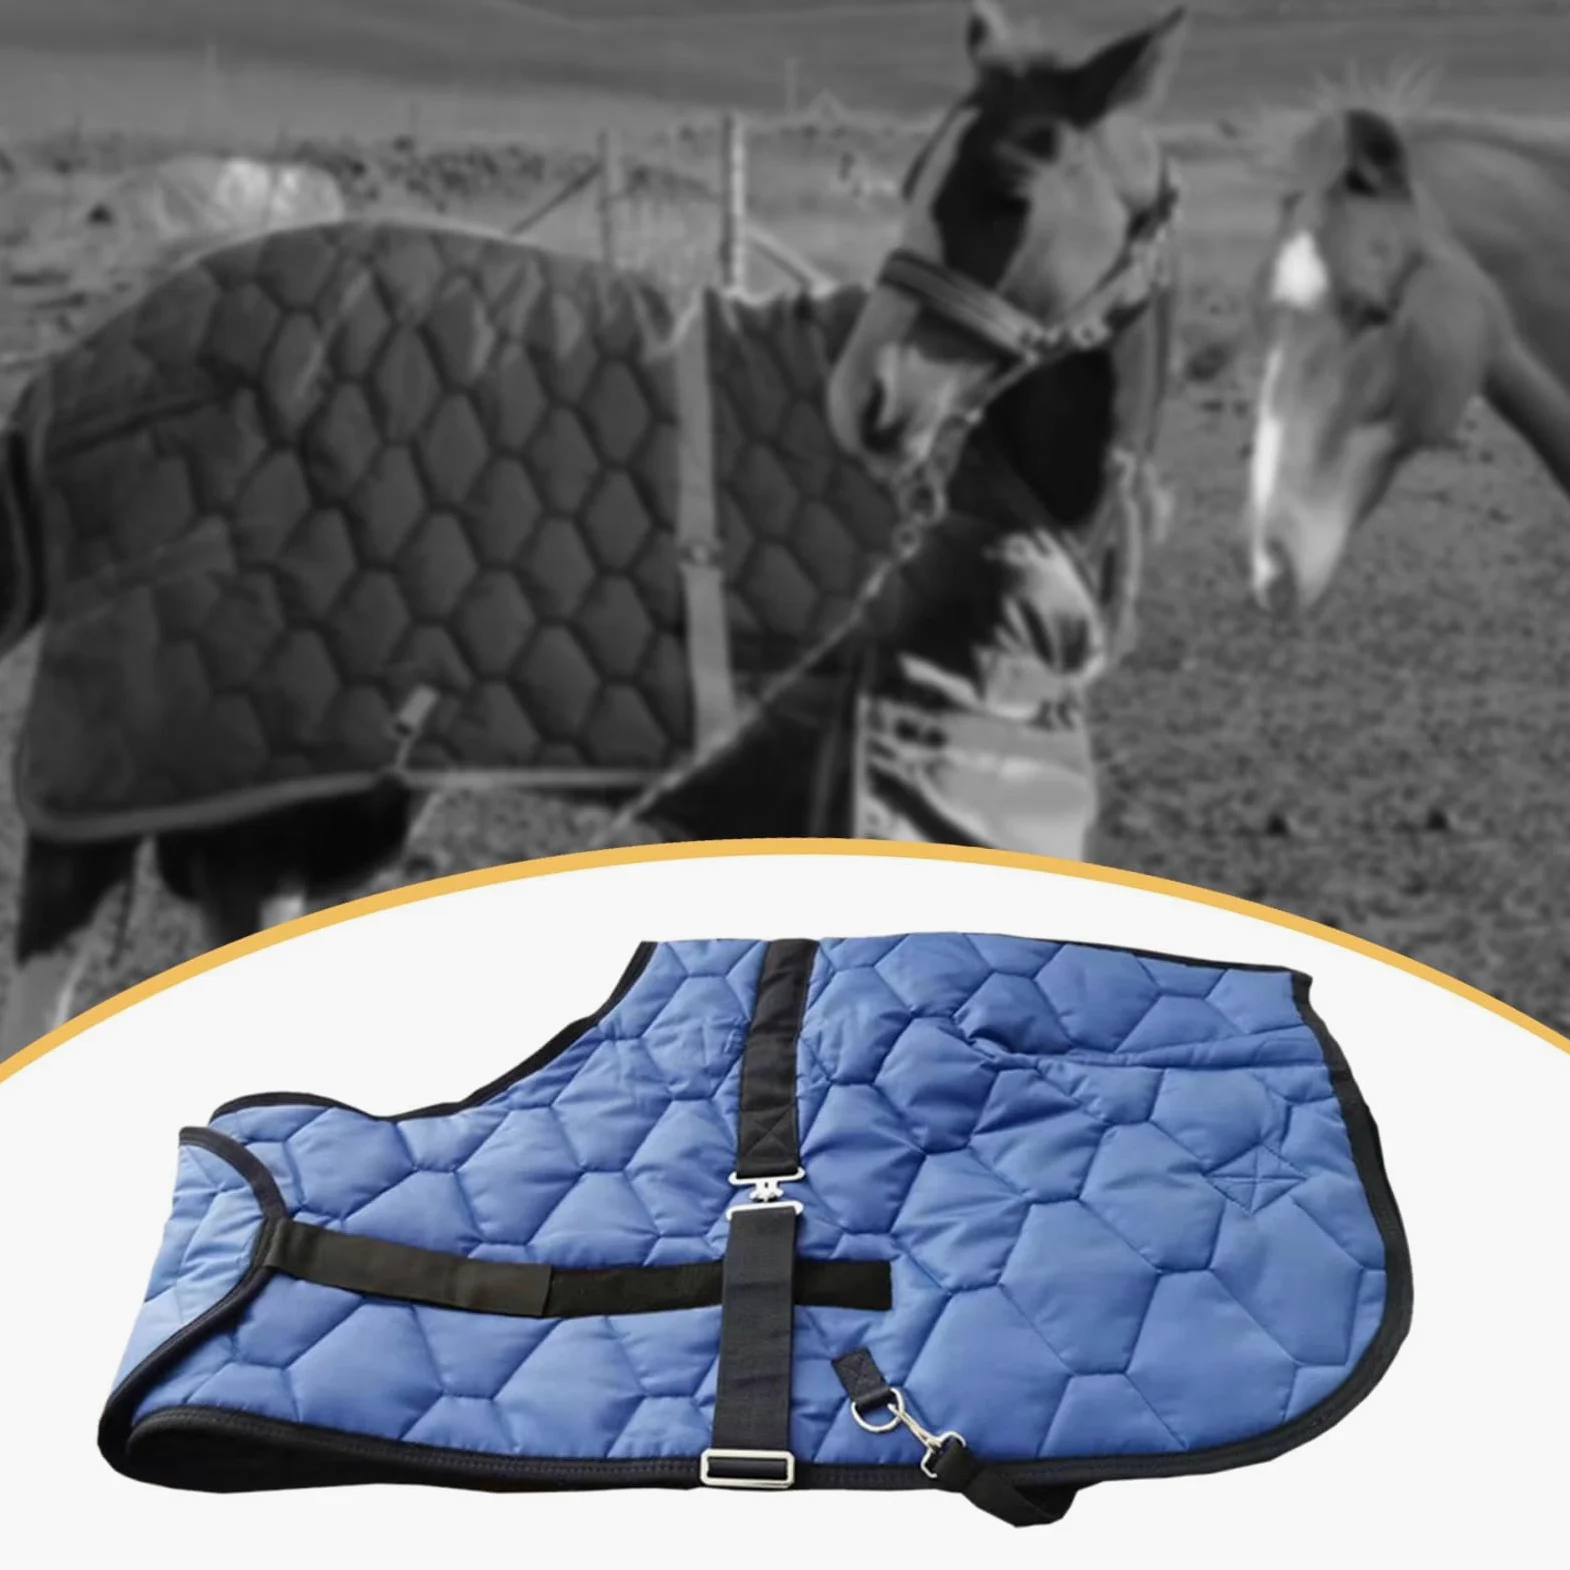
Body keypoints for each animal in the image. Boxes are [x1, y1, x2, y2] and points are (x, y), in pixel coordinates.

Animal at [0, 3, 1186, 1059]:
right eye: (913, 185)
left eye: (1007, 190)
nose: (869, 401)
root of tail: (73, 373)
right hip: (136, 752)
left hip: (282, 772)